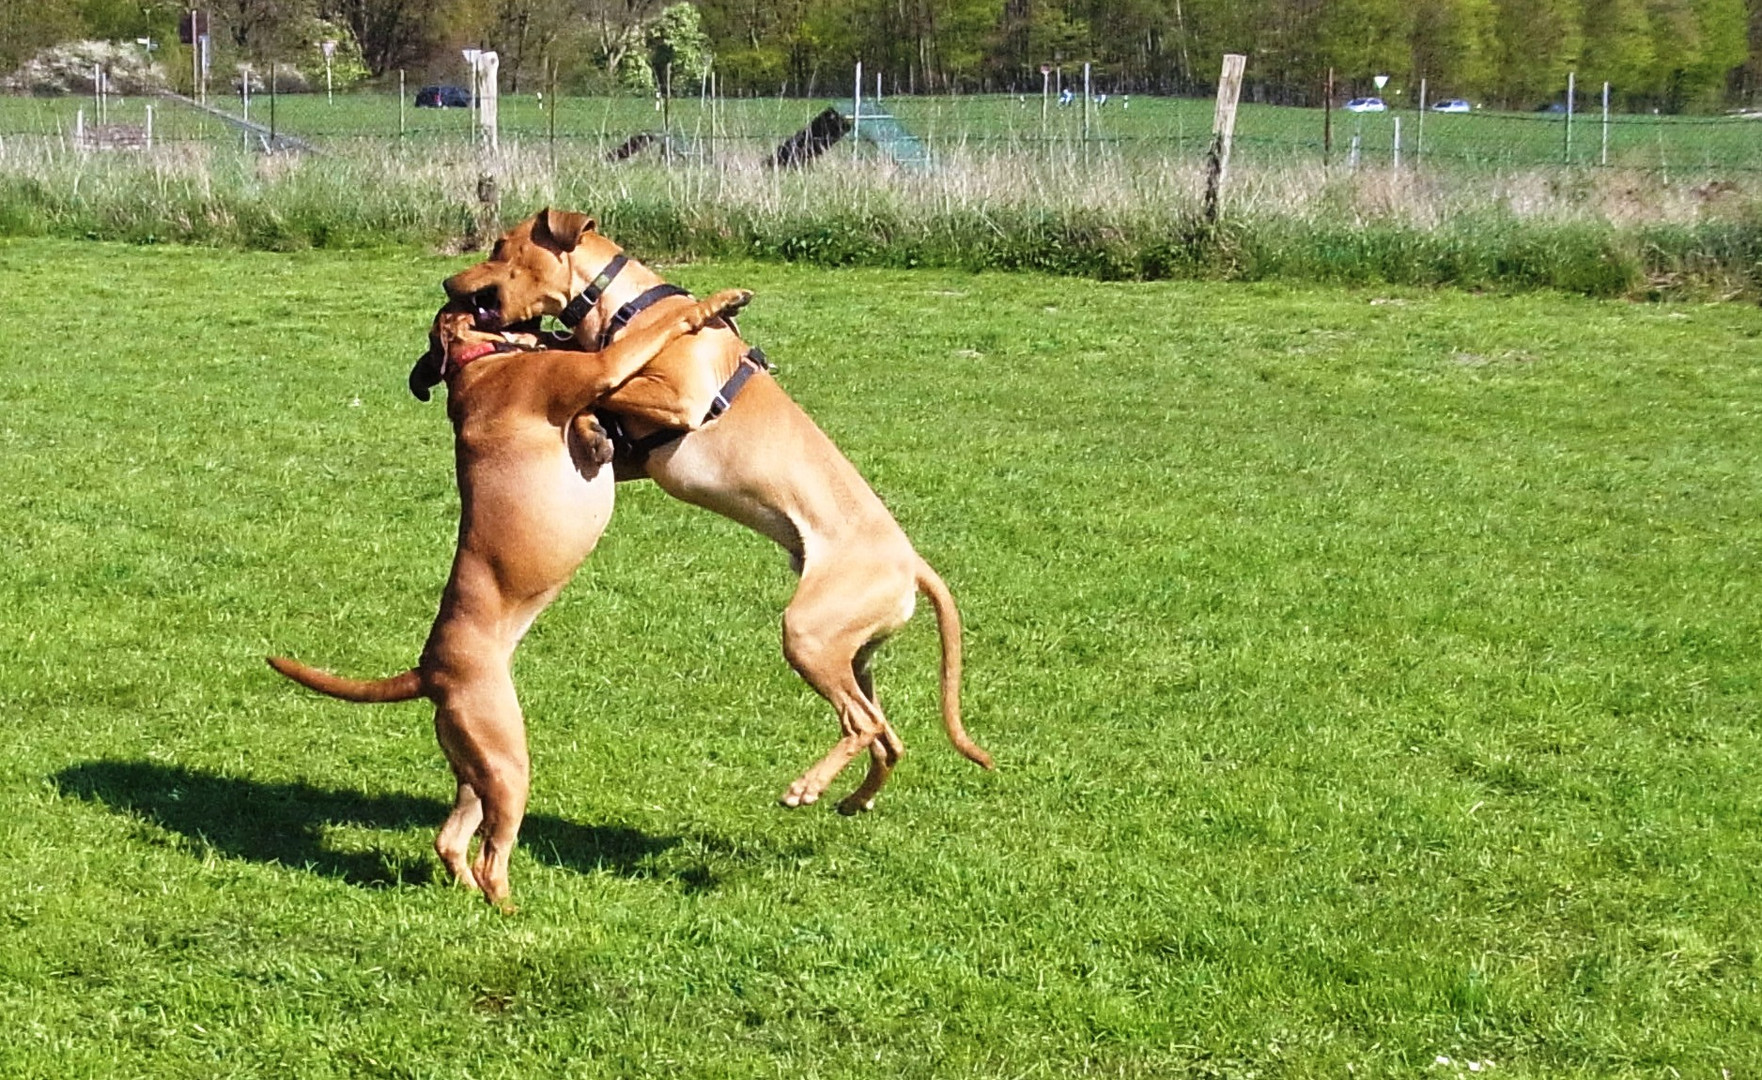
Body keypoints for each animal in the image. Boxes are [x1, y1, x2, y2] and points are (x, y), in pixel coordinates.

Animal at [267, 283, 750, 902]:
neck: (479, 362)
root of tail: (429, 670)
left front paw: (595, 435)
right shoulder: (598, 367)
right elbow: (656, 330)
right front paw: (715, 302)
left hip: (480, 765)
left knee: (453, 839)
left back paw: (466, 892)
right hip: (507, 761)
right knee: (492, 857)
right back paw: (511, 909)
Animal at [435, 208, 1000, 810]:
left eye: (500, 247)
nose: (447, 283)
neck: (624, 305)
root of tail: (912, 564)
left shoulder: (674, 397)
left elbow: (604, 383)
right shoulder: (637, 446)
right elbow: (595, 400)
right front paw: (590, 431)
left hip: (809, 633)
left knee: (864, 723)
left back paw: (807, 786)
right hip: (852, 652)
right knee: (888, 736)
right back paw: (854, 799)